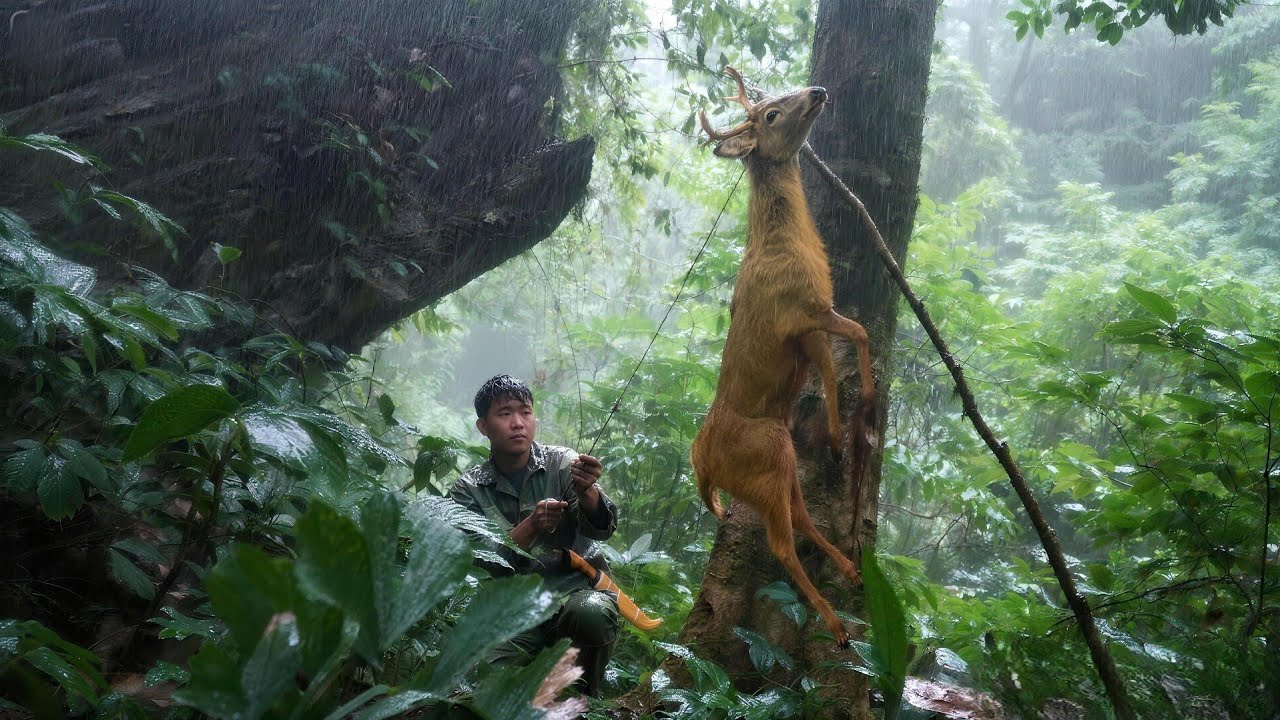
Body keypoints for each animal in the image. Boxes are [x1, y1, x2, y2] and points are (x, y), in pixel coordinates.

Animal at [689, 66, 877, 648]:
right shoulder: (804, 311)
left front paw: (839, 437)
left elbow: (831, 371)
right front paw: (868, 402)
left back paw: (851, 569)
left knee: (799, 515)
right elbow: (859, 332)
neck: (783, 245)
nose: (818, 92)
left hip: (779, 456)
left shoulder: (807, 333)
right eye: (771, 114)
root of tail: (703, 466)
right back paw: (836, 624)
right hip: (768, 451)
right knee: (780, 541)